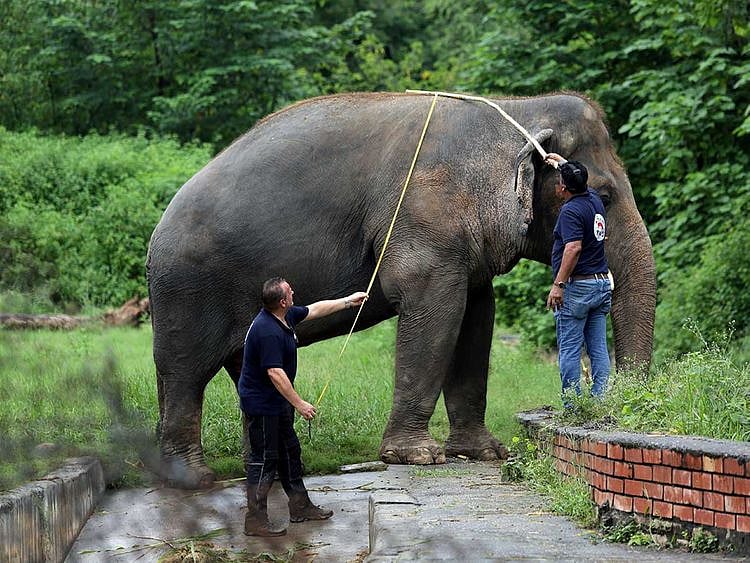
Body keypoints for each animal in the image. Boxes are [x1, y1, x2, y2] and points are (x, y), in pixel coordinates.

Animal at [147, 91, 656, 489]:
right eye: (604, 197)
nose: (623, 403)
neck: (517, 109)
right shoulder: (424, 224)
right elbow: (437, 313)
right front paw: (419, 457)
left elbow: (476, 321)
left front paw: (484, 453)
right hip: (188, 291)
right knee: (186, 373)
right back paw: (194, 479)